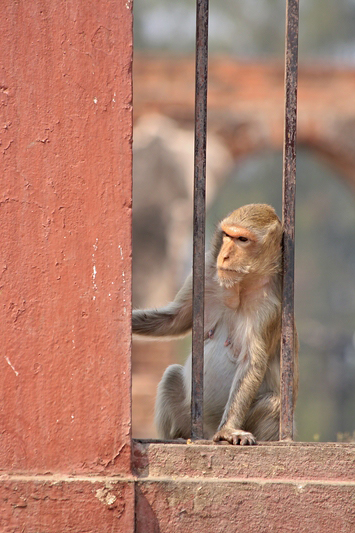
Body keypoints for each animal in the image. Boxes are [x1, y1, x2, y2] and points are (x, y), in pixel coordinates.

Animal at [132, 202, 298, 442]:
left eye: (242, 239)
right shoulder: (205, 274)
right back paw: (179, 437)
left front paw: (229, 430)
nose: (224, 256)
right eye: (227, 235)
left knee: (274, 404)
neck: (240, 287)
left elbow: (251, 362)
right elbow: (173, 320)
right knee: (172, 376)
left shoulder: (270, 309)